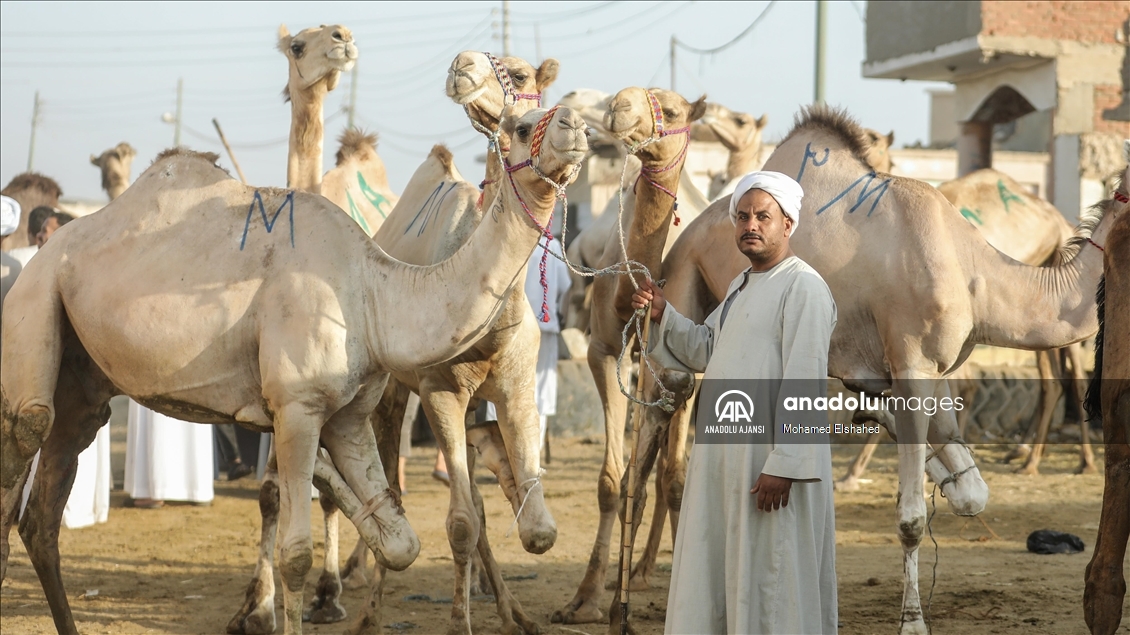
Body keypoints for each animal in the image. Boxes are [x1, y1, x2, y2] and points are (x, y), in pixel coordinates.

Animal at [0, 92, 583, 632]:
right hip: (35, 302)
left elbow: (401, 542)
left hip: (82, 383)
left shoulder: (349, 415)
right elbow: (296, 555)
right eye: (522, 125)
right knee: (29, 429)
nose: (577, 123)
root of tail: (42, 254)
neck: (375, 296)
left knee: (40, 515)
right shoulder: (301, 406)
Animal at [546, 85, 705, 623]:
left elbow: (674, 476)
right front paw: (586, 599)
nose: (620, 104)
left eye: (673, 110)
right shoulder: (603, 351)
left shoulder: (682, 373)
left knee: (669, 472)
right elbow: (612, 482)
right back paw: (632, 572)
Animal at [637, 106, 1111, 628]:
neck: (977, 276)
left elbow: (971, 489)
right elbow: (911, 519)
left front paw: (923, 453)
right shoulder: (913, 360)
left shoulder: (935, 369)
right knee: (665, 403)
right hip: (685, 276)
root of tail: (683, 236)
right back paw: (620, 594)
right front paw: (914, 622)